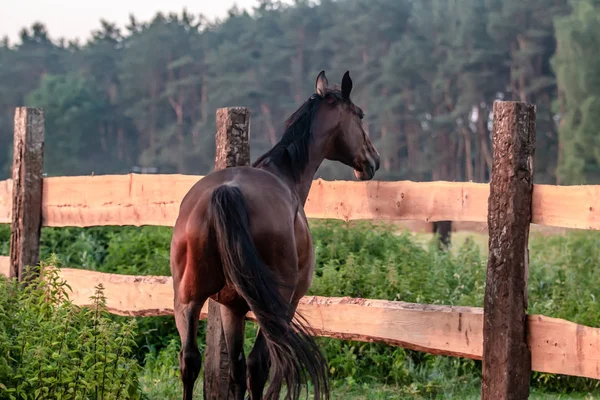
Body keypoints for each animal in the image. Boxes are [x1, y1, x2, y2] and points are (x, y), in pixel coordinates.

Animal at [170, 69, 380, 400]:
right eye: (359, 115)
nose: (373, 160)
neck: (285, 175)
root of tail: (226, 192)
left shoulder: (231, 307)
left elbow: (235, 372)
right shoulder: (287, 303)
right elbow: (256, 367)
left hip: (187, 301)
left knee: (190, 361)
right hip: (273, 306)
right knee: (259, 364)